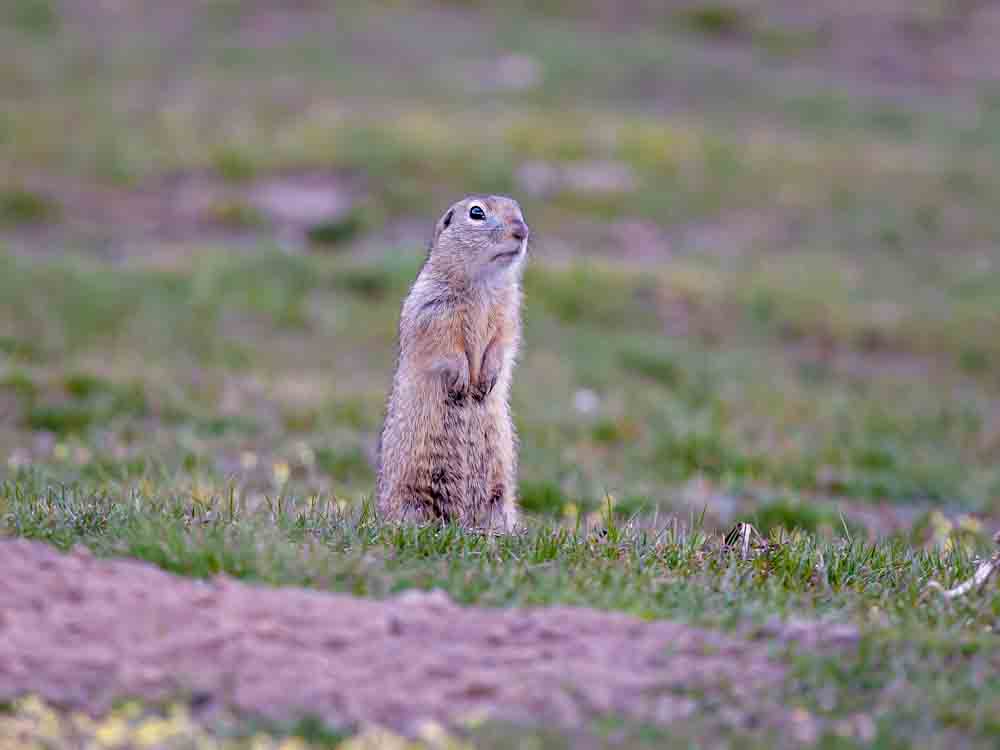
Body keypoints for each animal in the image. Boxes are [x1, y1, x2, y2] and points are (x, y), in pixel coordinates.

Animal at [376, 197, 532, 532]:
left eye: (518, 209)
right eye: (476, 213)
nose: (522, 231)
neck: (484, 282)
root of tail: (462, 521)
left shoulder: (509, 311)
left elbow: (503, 341)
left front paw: (487, 378)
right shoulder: (434, 308)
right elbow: (445, 344)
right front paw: (463, 379)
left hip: (500, 491)